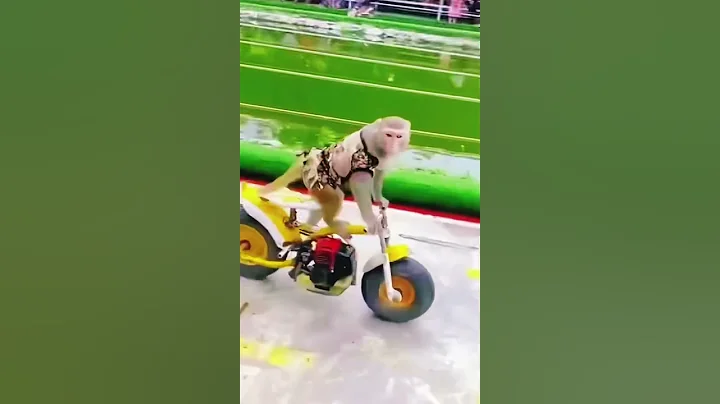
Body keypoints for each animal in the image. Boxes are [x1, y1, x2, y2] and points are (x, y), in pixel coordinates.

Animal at [257, 116, 412, 240]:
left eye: (399, 136)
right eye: (389, 135)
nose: (392, 145)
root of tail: (307, 160)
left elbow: (379, 171)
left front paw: (380, 199)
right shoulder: (367, 149)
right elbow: (359, 181)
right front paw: (371, 220)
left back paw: (309, 228)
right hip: (318, 179)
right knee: (335, 197)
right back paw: (330, 222)